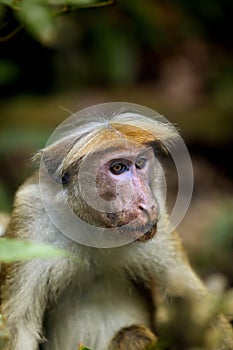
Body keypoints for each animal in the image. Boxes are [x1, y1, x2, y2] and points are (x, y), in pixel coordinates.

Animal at [0, 104, 233, 350]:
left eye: (141, 163)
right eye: (118, 167)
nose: (148, 205)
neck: (93, 230)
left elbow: (198, 308)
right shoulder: (31, 218)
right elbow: (19, 328)